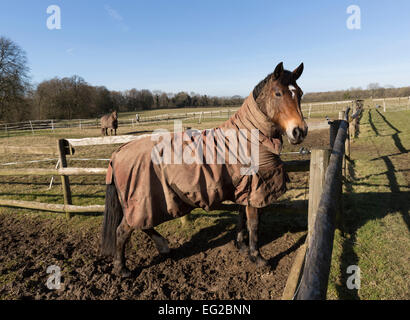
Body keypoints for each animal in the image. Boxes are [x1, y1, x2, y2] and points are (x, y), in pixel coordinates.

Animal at [101, 62, 308, 278]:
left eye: (300, 93)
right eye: (278, 93)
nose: (299, 131)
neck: (250, 137)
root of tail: (118, 152)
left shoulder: (243, 188)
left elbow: (241, 218)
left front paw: (242, 247)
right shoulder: (255, 189)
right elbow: (254, 224)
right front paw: (258, 257)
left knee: (142, 225)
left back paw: (163, 246)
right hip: (141, 202)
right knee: (123, 230)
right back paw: (122, 268)